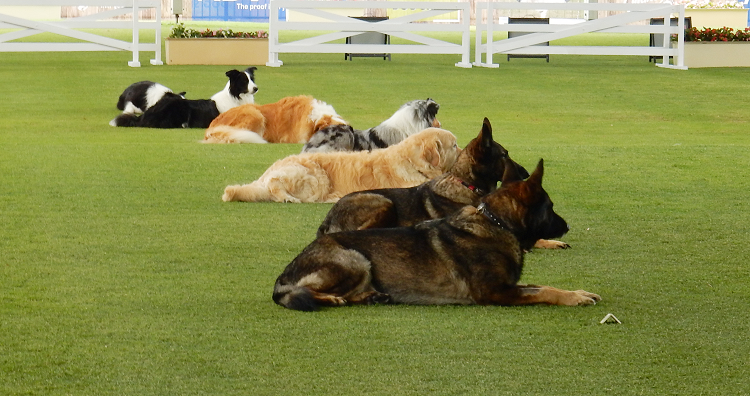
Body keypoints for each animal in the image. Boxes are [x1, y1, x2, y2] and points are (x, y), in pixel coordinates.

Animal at [220, 128, 462, 204]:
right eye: (454, 145)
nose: (464, 152)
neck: (411, 162)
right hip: (314, 177)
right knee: (275, 185)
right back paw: (288, 197)